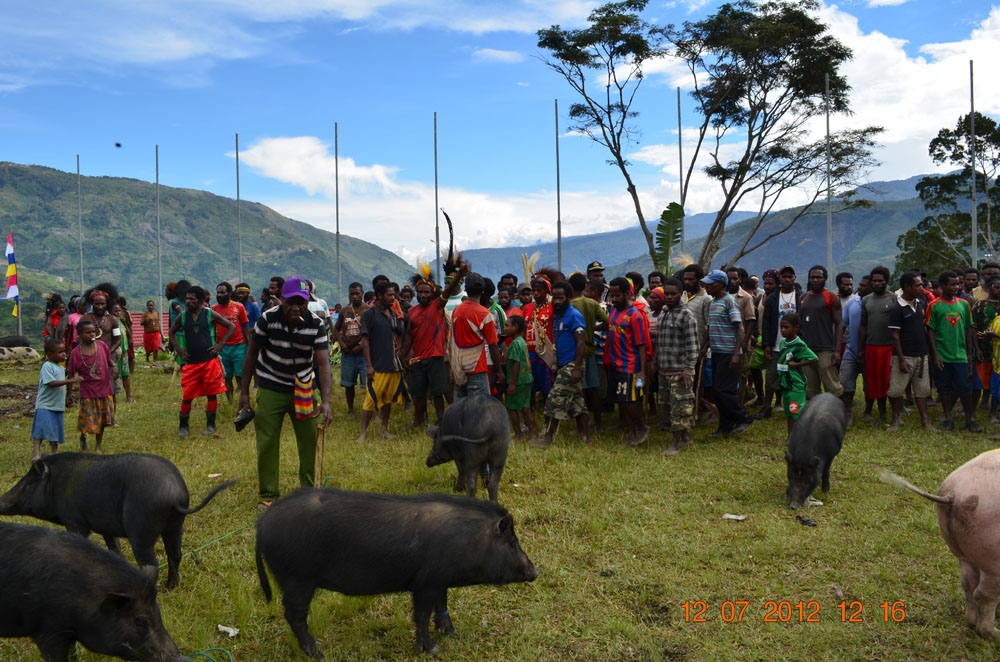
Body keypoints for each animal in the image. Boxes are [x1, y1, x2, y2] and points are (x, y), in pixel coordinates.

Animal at [0, 454, 234, 588]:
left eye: (29, 483)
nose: (1, 500)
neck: (57, 484)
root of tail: (176, 493)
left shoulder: (75, 522)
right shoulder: (106, 527)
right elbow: (115, 550)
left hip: (141, 528)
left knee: (151, 565)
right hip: (175, 525)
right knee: (175, 554)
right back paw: (170, 587)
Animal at [256, 488, 540, 660]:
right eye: (512, 542)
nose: (535, 570)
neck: (469, 538)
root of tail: (263, 523)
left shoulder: (439, 580)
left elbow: (442, 604)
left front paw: (452, 633)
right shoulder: (425, 583)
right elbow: (422, 614)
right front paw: (432, 649)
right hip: (296, 579)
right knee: (294, 615)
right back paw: (318, 654)